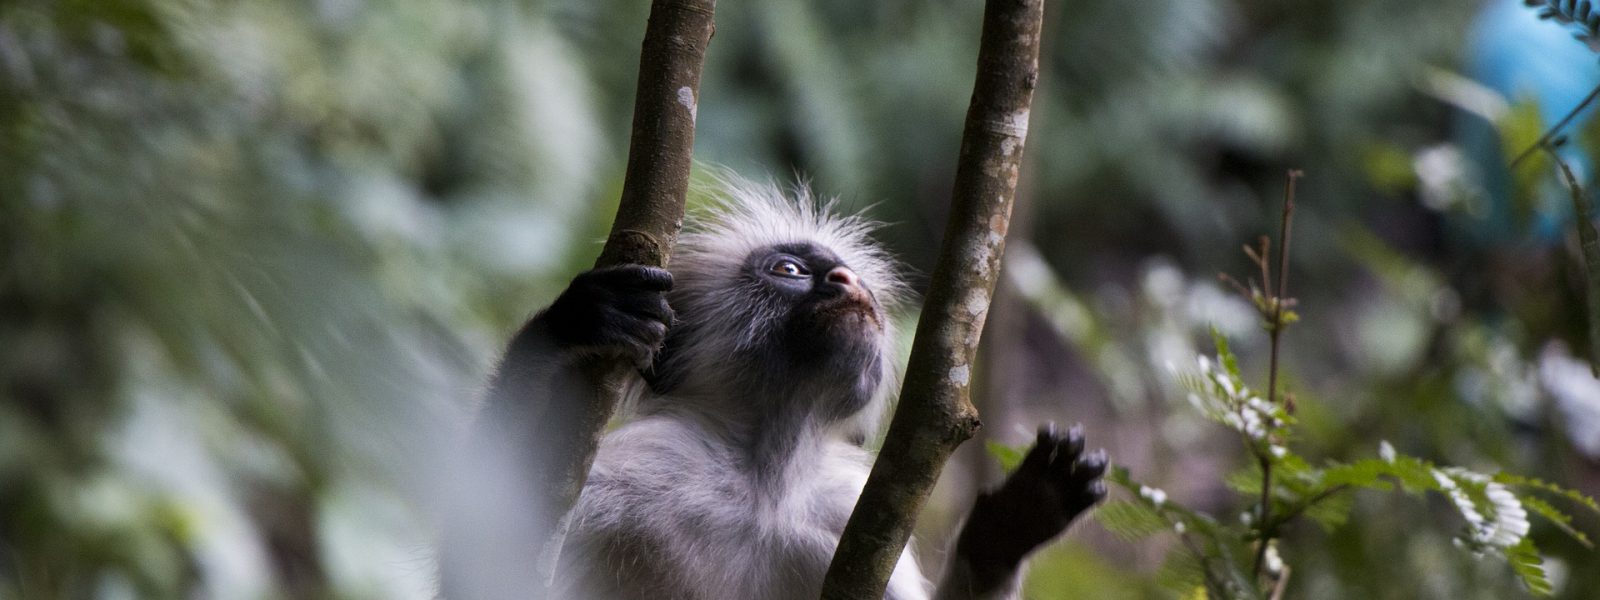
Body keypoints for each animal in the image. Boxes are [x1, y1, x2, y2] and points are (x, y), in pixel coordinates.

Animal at [461, 177, 1107, 600]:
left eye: (852, 277)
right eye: (790, 271)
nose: (848, 282)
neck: (764, 490)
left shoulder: (844, 516)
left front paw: (1009, 529)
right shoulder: (643, 465)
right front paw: (570, 324)